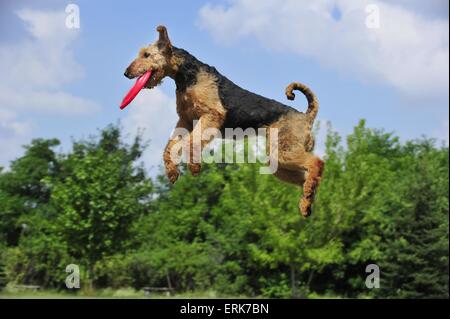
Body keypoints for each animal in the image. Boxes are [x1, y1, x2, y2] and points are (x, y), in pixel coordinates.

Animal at [125, 26, 326, 218]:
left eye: (146, 54)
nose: (126, 73)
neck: (186, 75)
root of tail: (306, 116)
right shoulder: (186, 119)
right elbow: (171, 146)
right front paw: (173, 173)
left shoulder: (211, 115)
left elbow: (190, 142)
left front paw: (194, 167)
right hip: (278, 161)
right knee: (306, 178)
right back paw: (306, 204)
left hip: (284, 152)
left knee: (316, 163)